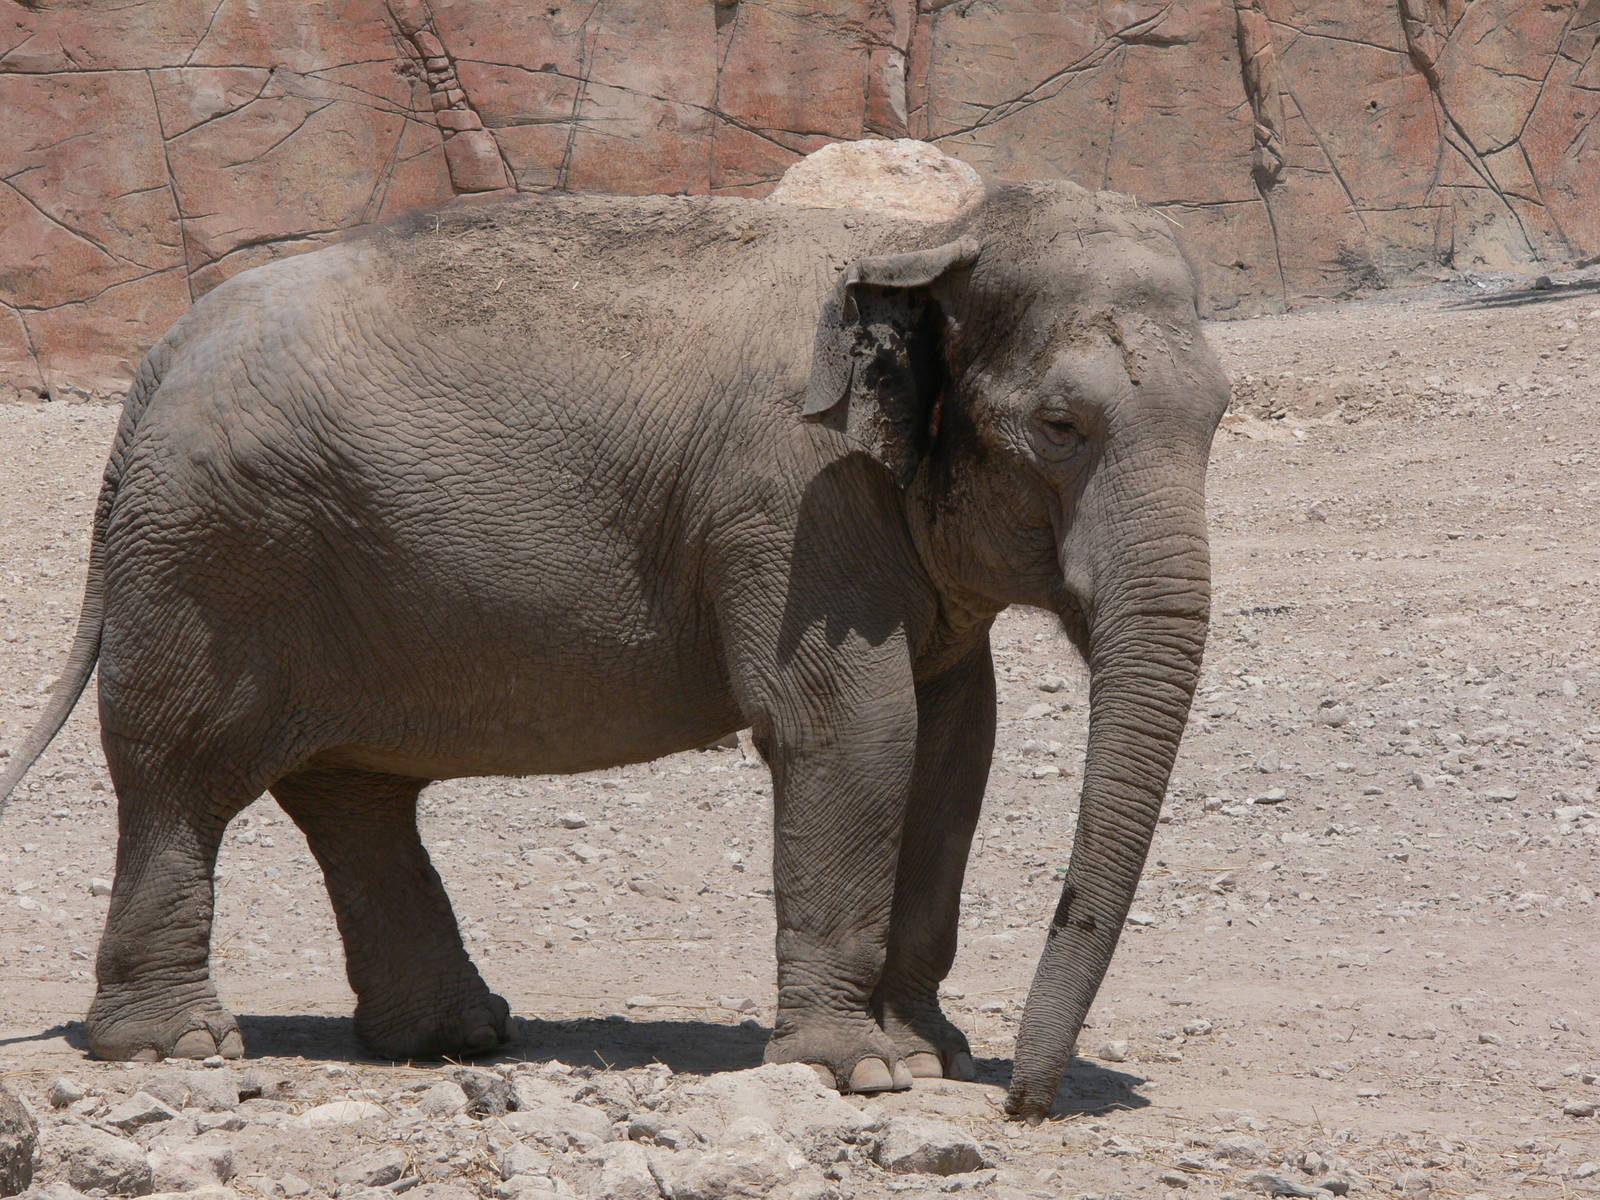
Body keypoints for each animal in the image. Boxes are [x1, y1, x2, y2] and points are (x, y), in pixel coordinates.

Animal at [0, 178, 1228, 1121]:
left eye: (1221, 414)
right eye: (1062, 428)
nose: (1027, 1103)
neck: (923, 237)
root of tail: (159, 358)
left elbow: (954, 746)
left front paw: (933, 1051)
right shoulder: (792, 507)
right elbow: (851, 731)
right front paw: (863, 1073)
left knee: (352, 792)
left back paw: (454, 1036)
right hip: (209, 561)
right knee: (181, 773)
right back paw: (178, 1048)